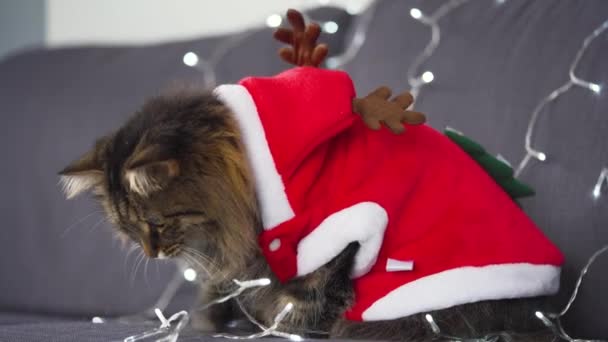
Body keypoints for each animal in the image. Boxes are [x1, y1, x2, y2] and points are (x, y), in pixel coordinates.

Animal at [60, 89, 556, 342]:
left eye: (156, 224)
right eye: (127, 229)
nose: (152, 253)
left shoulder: (329, 235)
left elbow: (307, 294)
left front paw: (281, 325)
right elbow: (222, 287)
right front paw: (216, 318)